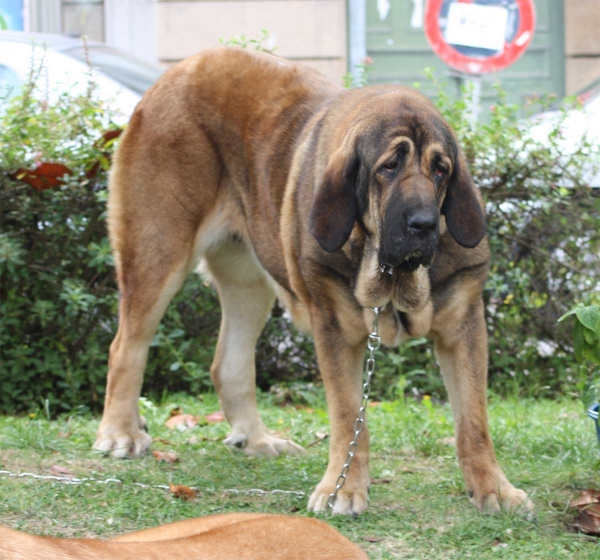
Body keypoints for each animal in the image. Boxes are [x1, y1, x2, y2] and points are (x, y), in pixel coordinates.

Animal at [94, 48, 536, 516]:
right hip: (157, 251)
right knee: (126, 345)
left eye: (441, 170)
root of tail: (179, 68)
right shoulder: (336, 330)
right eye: (389, 166)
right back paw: (120, 433)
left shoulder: (463, 328)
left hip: (249, 282)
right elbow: (348, 417)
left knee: (229, 363)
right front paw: (343, 488)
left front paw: (494, 489)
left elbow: (474, 420)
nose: (424, 224)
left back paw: (257, 440)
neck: (388, 273)